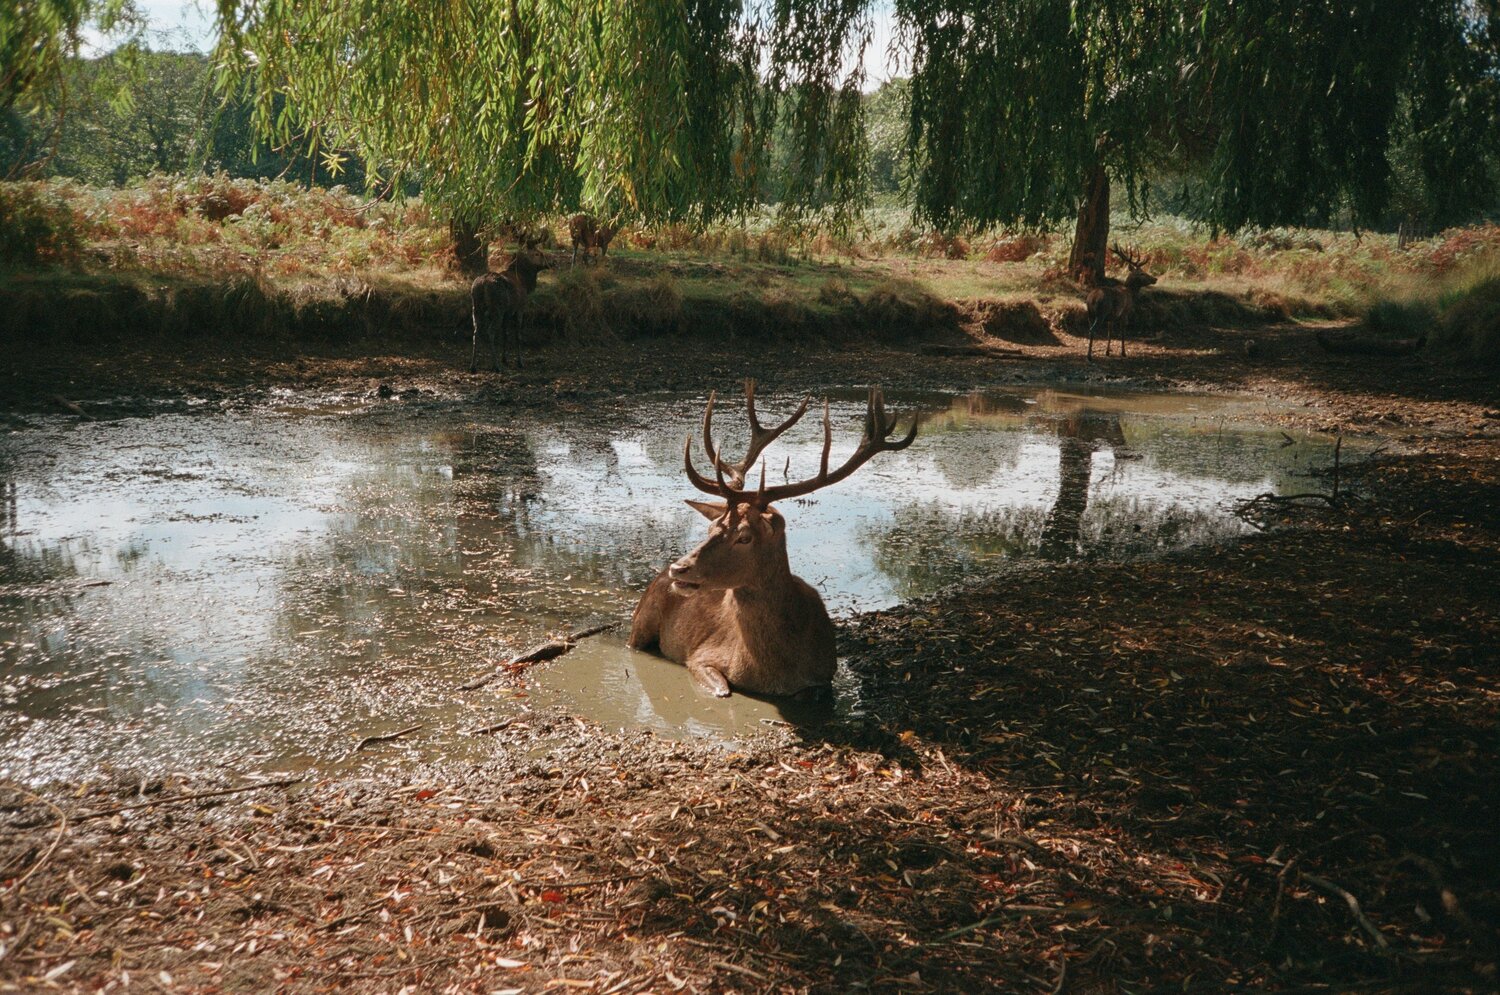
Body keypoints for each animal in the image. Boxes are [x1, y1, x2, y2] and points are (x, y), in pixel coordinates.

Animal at [470, 238, 551, 372]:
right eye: (538, 253)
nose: (552, 262)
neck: (525, 282)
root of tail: (483, 284)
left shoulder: (507, 312)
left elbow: (505, 334)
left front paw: (505, 359)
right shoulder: (519, 308)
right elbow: (518, 335)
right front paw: (520, 362)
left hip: (476, 307)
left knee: (476, 331)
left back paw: (473, 366)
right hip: (497, 308)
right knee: (490, 332)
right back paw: (496, 365)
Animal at [628, 381, 918, 698]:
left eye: (744, 537)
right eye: (711, 527)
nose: (679, 567)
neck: (772, 674)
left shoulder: (824, 677)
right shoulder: (700, 656)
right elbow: (723, 690)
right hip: (640, 622)